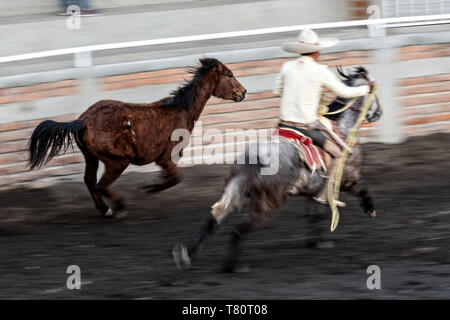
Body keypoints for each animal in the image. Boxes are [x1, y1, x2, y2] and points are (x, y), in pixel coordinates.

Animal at [29, 58, 246, 216]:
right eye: (230, 74)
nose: (243, 92)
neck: (181, 110)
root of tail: (83, 121)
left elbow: (172, 178)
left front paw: (152, 185)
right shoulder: (165, 156)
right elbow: (175, 178)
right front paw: (149, 188)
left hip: (91, 157)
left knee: (90, 181)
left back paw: (105, 209)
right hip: (117, 161)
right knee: (100, 185)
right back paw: (118, 206)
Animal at [174, 66, 382, 272]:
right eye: (374, 92)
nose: (379, 113)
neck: (342, 128)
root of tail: (255, 159)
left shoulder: (314, 191)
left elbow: (315, 214)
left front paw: (316, 242)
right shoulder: (348, 178)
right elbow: (362, 189)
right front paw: (370, 208)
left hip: (235, 191)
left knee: (213, 220)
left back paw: (187, 255)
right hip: (268, 203)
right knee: (239, 229)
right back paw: (233, 266)